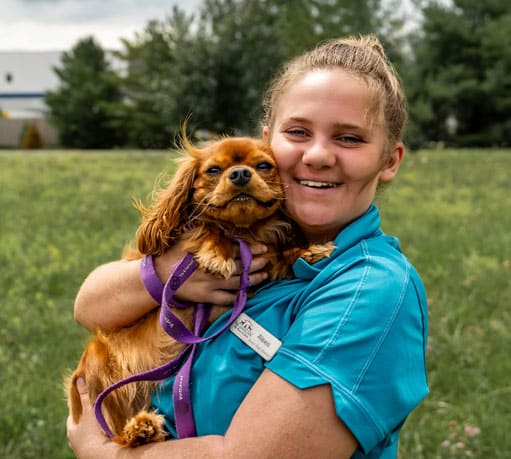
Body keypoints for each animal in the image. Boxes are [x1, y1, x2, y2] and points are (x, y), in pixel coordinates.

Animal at [66, 135, 334, 448]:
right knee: (114, 431)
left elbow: (282, 256)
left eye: (264, 166)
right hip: (99, 362)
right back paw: (139, 430)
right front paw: (218, 252)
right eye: (214, 170)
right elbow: (207, 226)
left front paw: (309, 251)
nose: (240, 173)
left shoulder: (267, 263)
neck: (244, 232)